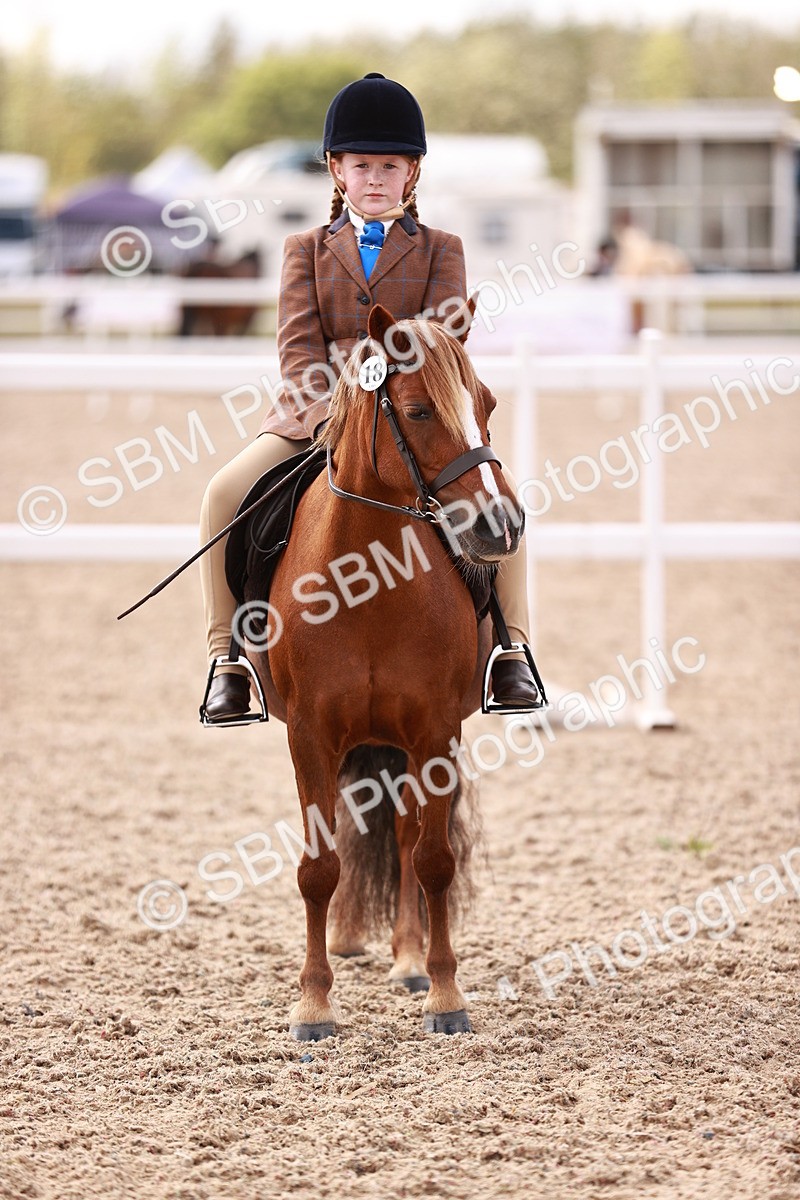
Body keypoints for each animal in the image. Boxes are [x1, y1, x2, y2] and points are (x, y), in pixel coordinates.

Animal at [246, 301, 525, 1040]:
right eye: (419, 409)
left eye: (487, 402)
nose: (503, 525)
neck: (367, 583)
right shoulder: (310, 736)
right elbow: (318, 867)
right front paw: (314, 1004)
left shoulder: (434, 732)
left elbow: (432, 860)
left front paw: (445, 994)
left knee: (403, 839)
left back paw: (406, 960)